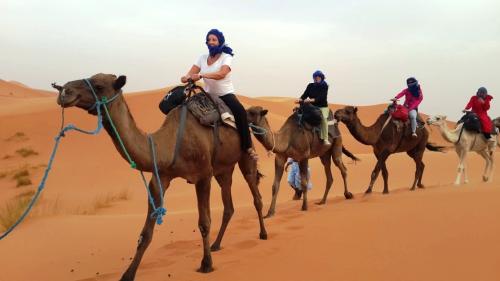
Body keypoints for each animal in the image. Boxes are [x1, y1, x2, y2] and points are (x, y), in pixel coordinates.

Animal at [52, 73, 268, 278]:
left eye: (98, 86)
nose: (64, 91)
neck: (169, 145)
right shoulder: (160, 178)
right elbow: (145, 234)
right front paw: (128, 274)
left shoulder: (203, 175)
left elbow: (204, 222)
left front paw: (206, 264)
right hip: (223, 169)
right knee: (228, 205)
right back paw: (216, 244)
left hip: (245, 156)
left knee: (256, 195)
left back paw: (263, 233)